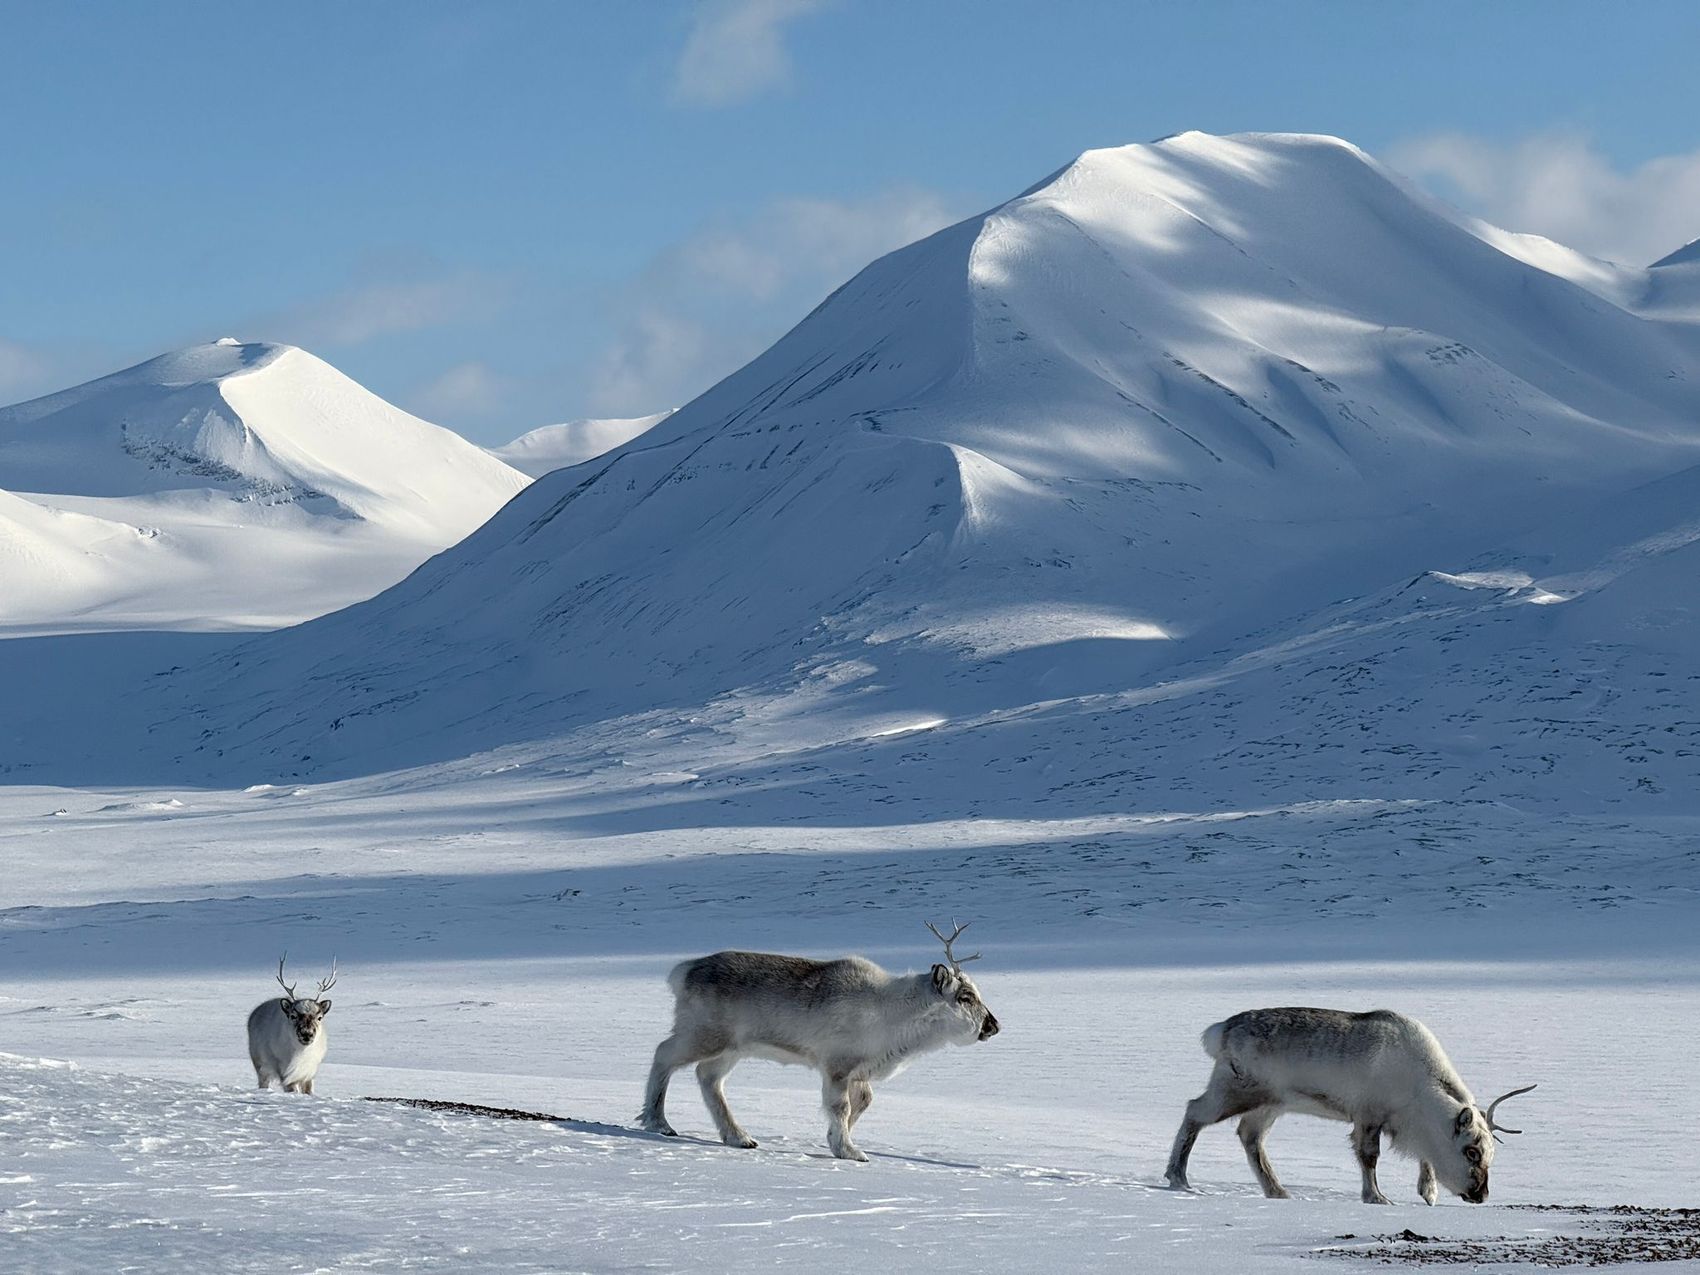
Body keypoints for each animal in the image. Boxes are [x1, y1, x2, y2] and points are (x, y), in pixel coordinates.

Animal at [247, 954, 337, 1094]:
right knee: (263, 1082)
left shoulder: (309, 1073)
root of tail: (254, 1013)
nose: (307, 1034)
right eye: (293, 1016)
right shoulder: (285, 1072)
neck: (302, 1054)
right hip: (260, 1065)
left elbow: (309, 1091)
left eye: (319, 1017)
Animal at [638, 920, 1000, 1161]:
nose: (993, 1025)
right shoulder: (837, 1065)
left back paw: (739, 1137)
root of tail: (682, 972)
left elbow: (863, 1103)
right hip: (704, 1033)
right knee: (663, 1054)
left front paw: (834, 1140)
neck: (895, 1018)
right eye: (966, 997)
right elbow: (841, 1107)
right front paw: (850, 1150)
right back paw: (658, 1122)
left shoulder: (860, 1070)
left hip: (732, 1048)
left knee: (708, 1077)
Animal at [1164, 1007, 1535, 1204]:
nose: (1481, 1194)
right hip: (1235, 1089)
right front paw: (1376, 1197)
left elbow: (1424, 1158)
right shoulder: (1368, 1115)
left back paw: (1277, 1190)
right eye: (1471, 1151)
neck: (1420, 1091)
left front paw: (1428, 1193)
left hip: (1270, 1104)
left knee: (1249, 1136)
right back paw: (1177, 1177)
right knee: (1194, 1111)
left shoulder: (1404, 1125)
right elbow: (1369, 1157)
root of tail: (1221, 1031)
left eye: (1489, 1152)